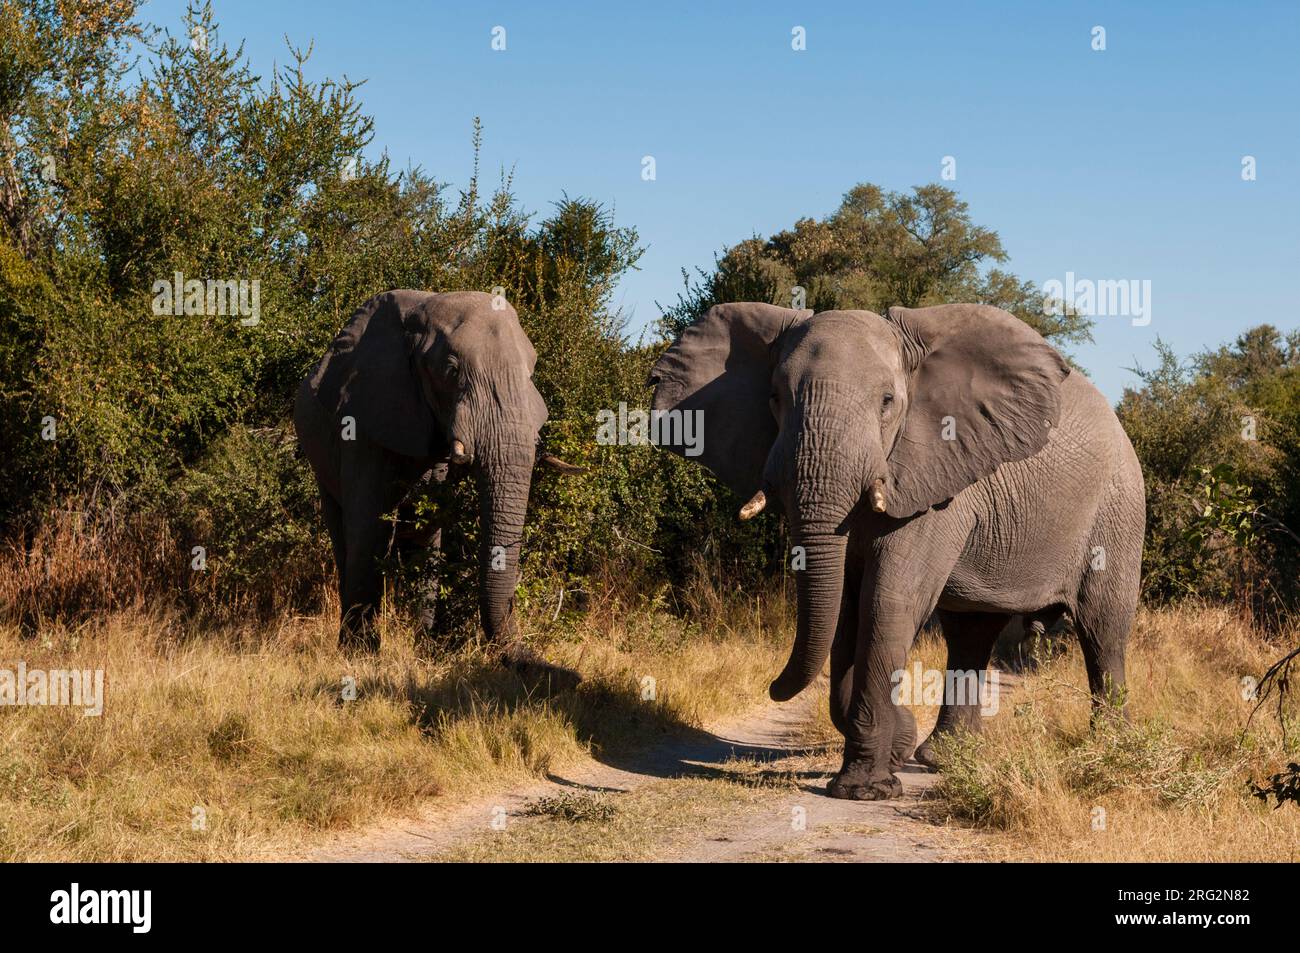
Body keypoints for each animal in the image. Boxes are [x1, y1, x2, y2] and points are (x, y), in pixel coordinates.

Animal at [297, 286, 582, 665]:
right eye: (450, 370)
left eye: (531, 371)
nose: (527, 657)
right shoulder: (361, 419)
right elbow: (368, 527)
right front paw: (361, 656)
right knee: (343, 531)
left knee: (425, 539)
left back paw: (424, 645)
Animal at [647, 301, 1138, 800]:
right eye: (775, 398)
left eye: (887, 402)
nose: (771, 687)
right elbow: (845, 608)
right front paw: (893, 750)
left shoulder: (939, 482)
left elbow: (885, 603)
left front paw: (864, 789)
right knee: (971, 633)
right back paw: (943, 758)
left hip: (1117, 511)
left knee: (1102, 630)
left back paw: (1110, 751)